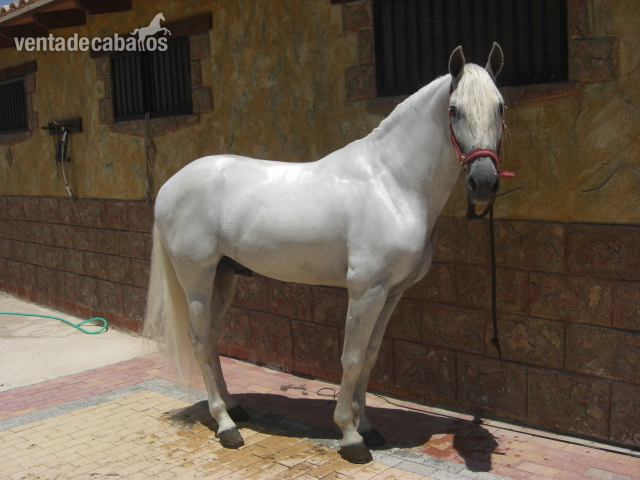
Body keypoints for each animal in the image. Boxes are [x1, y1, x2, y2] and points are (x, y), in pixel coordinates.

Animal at [144, 44, 508, 464]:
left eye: (500, 107)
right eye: (454, 110)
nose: (483, 183)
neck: (392, 183)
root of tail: (170, 185)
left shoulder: (391, 293)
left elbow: (370, 356)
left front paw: (368, 427)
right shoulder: (365, 290)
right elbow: (351, 358)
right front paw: (350, 435)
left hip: (225, 275)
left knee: (214, 337)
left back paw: (234, 407)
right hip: (198, 277)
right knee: (201, 340)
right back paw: (226, 426)